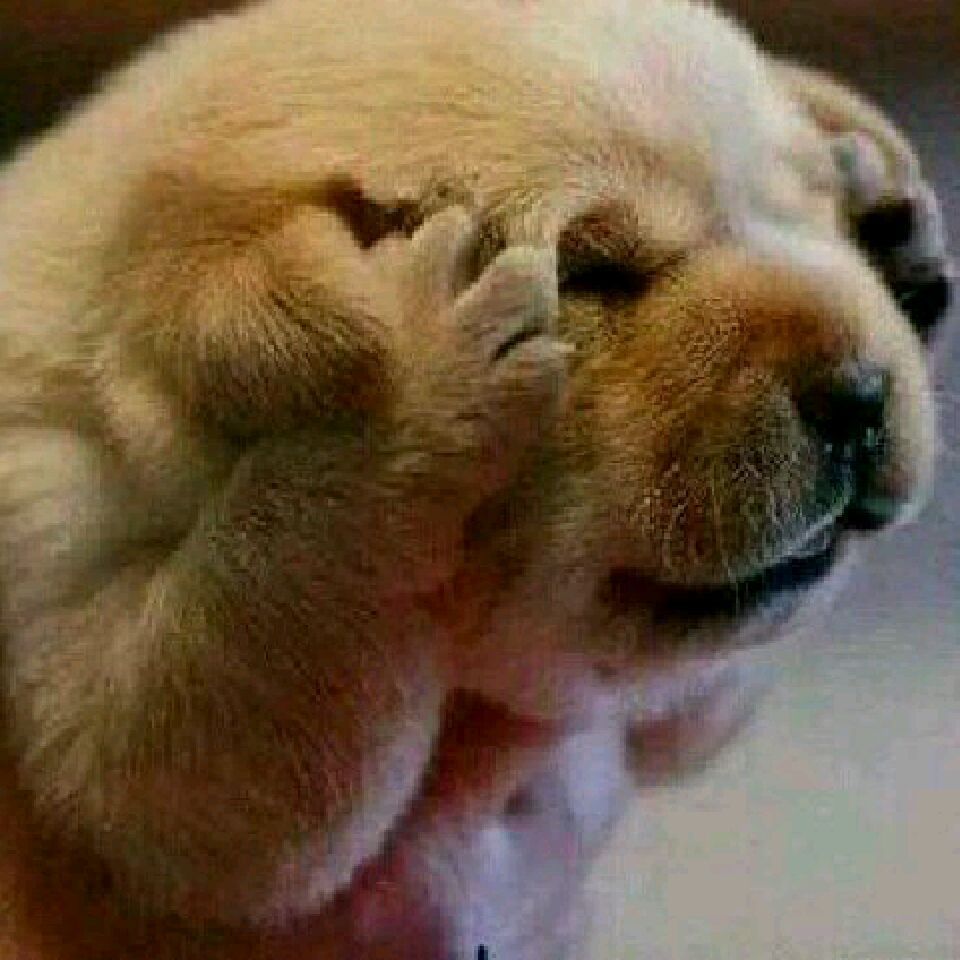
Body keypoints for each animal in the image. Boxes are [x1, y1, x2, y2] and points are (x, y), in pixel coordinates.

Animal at [0, 0, 952, 956]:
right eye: (594, 273)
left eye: (816, 217)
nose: (858, 392)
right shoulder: (54, 563)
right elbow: (194, 757)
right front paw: (406, 380)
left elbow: (697, 702)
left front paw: (888, 212)